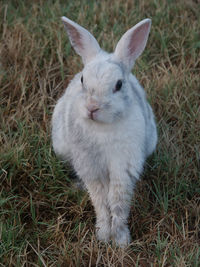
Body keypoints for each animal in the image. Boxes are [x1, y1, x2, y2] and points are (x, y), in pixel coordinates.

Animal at [52, 15, 158, 248]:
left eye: (118, 85)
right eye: (83, 80)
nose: (92, 108)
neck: (103, 127)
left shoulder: (123, 168)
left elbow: (118, 203)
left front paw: (120, 241)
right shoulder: (91, 167)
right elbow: (100, 201)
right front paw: (103, 234)